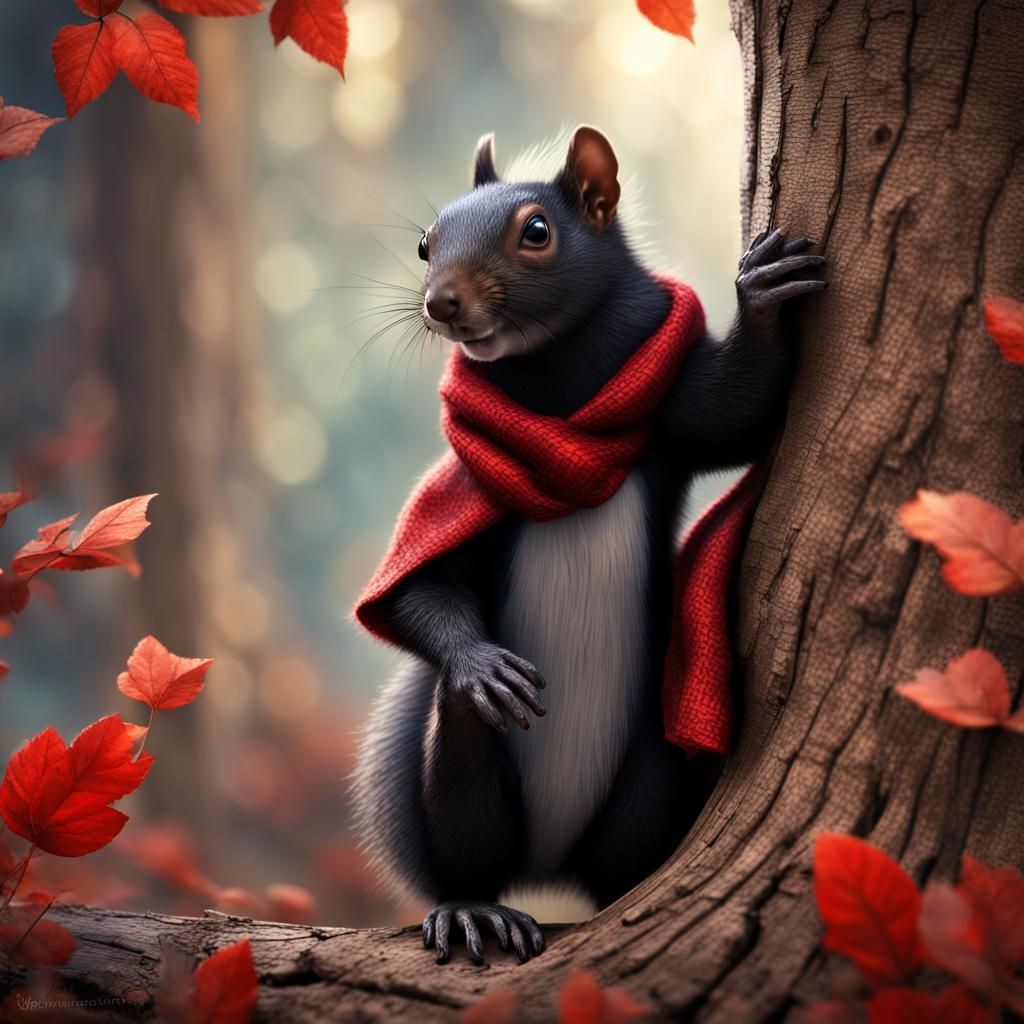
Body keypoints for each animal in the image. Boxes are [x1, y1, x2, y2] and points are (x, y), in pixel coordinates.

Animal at [351, 126, 826, 966]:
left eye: (537, 232)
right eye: (424, 243)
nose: (441, 304)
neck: (560, 405)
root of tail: (550, 867)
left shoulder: (670, 420)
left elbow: (740, 412)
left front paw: (764, 291)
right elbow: (418, 587)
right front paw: (479, 663)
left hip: (649, 766)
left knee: (627, 862)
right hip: (469, 806)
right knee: (467, 837)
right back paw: (474, 907)